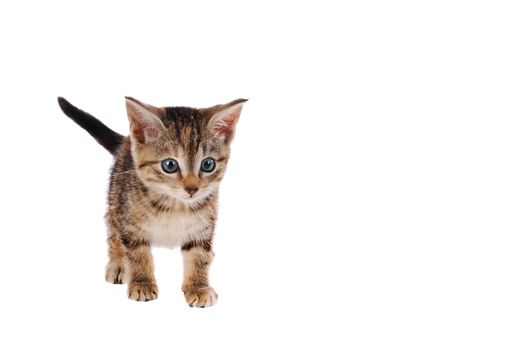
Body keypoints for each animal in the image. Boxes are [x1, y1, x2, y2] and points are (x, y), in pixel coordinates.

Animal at [58, 96, 247, 306]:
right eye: (169, 165)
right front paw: (142, 283)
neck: (175, 205)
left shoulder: (202, 226)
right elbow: (138, 253)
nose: (192, 189)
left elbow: (198, 255)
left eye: (208, 164)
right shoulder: (130, 223)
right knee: (113, 233)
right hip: (116, 198)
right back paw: (118, 264)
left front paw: (198, 286)